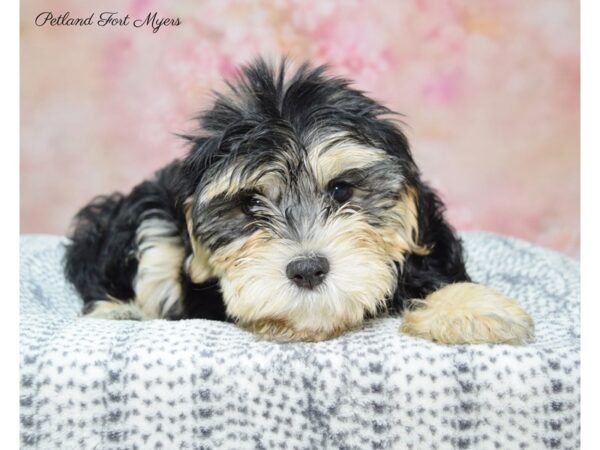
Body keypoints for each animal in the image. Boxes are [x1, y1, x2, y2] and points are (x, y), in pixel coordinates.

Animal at [65, 57, 536, 344]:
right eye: (250, 204)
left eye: (341, 190)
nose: (307, 269)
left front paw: (470, 308)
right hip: (140, 214)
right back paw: (117, 312)